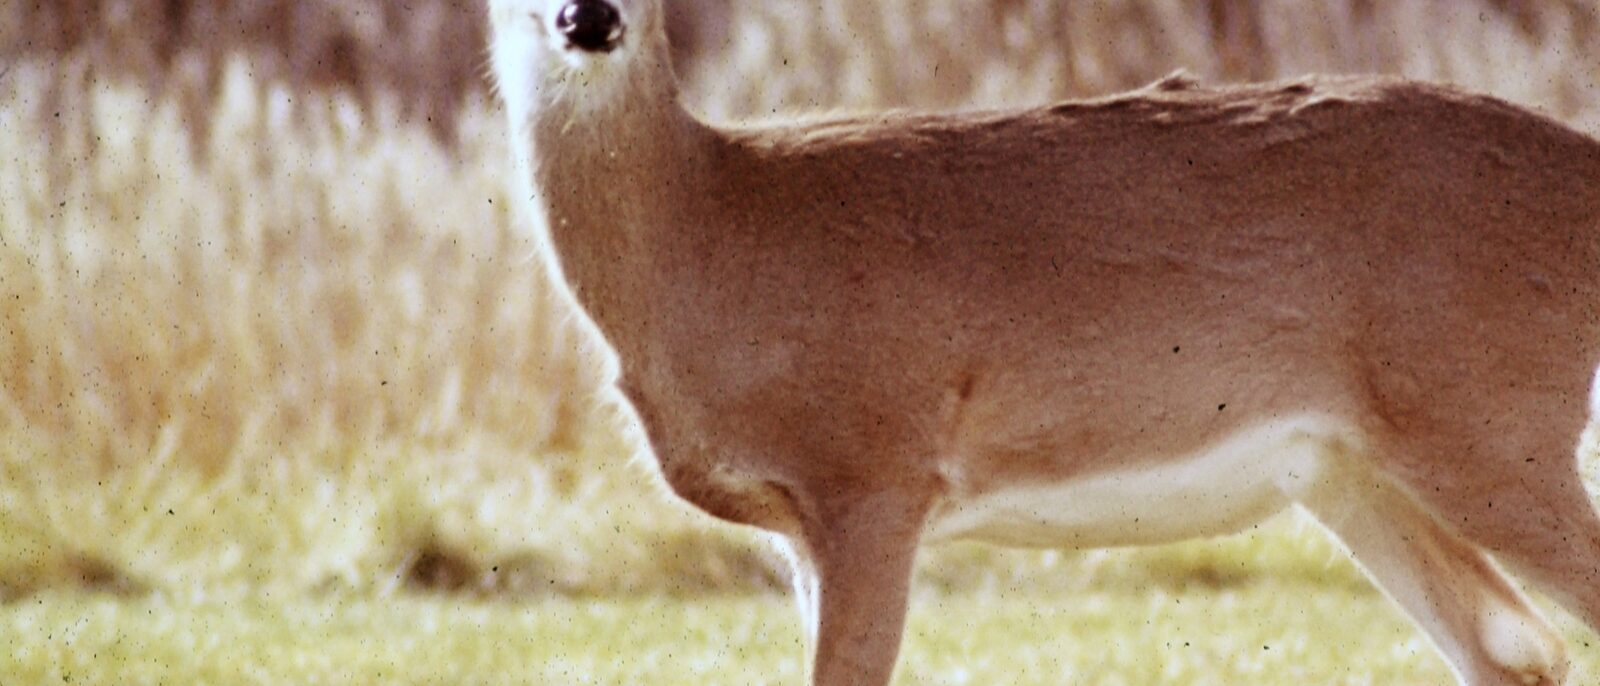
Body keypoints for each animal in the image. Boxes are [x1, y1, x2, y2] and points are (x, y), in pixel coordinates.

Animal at [487, 0, 1600, 683]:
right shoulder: (800, 522)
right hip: (1355, 474)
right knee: (1518, 650)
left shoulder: (874, 469)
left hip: (1491, 427)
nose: (590, 17)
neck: (712, 234)